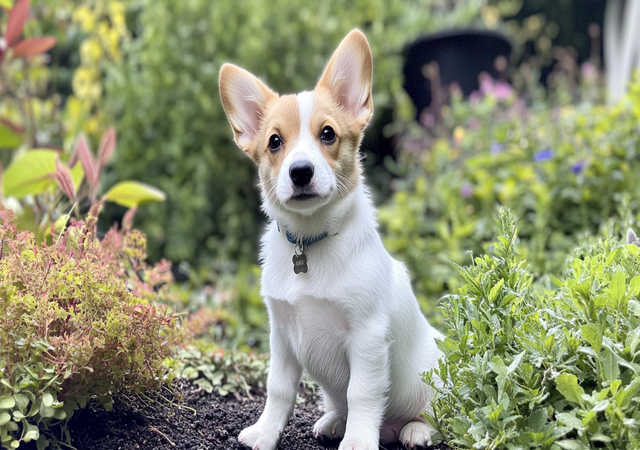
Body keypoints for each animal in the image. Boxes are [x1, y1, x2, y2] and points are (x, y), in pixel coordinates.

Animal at [218, 29, 442, 450]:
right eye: (275, 142)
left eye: (328, 134)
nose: (300, 172)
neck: (310, 238)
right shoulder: (281, 335)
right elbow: (278, 389)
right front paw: (265, 432)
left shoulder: (367, 335)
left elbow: (363, 392)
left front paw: (357, 442)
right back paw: (335, 421)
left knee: (438, 412)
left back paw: (415, 429)